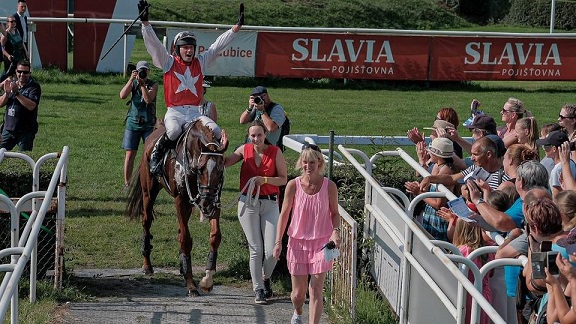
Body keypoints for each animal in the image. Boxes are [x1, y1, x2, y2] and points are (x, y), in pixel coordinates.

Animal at [126, 119, 227, 296]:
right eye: (201, 168)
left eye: (220, 170)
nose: (206, 204)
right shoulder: (180, 200)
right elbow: (186, 239)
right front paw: (191, 284)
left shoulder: (214, 200)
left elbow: (215, 236)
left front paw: (207, 279)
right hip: (148, 193)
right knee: (146, 221)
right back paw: (147, 264)